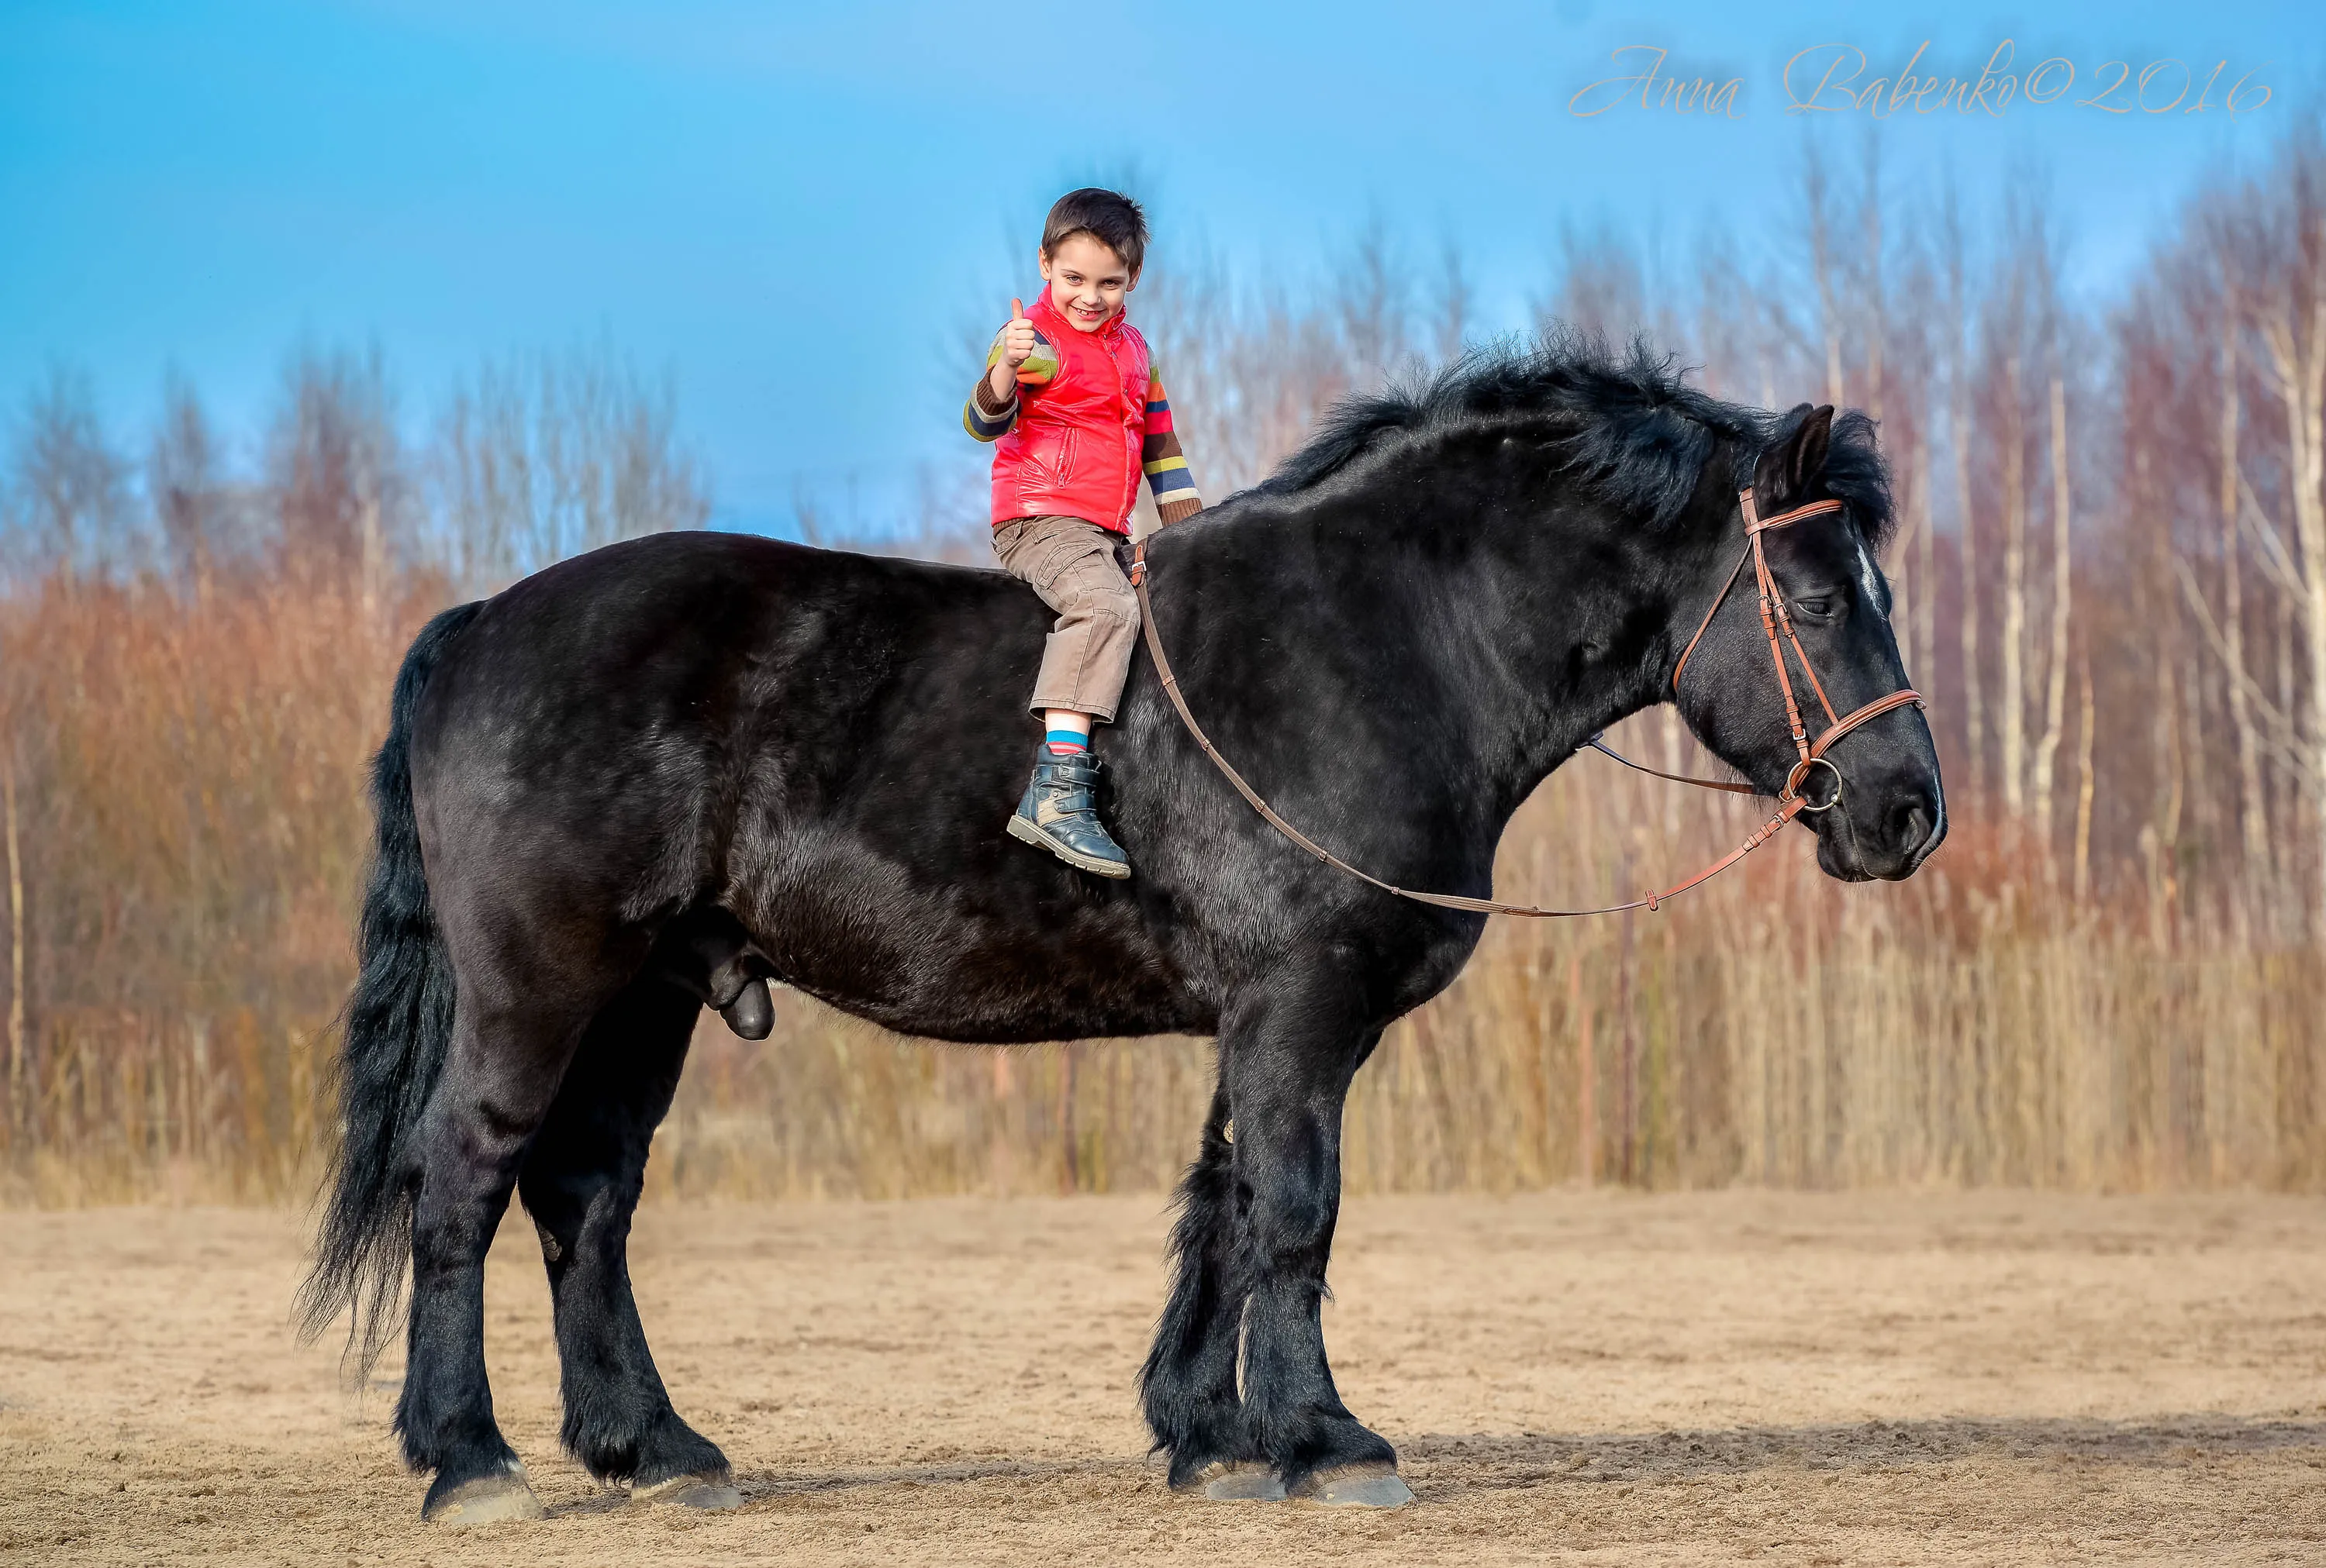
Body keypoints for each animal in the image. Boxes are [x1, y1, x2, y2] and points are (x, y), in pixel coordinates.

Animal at [305, 335, 1945, 1516]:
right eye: (1813, 595)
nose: (1907, 809)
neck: (1386, 638)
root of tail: (480, 623)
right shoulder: (1301, 1001)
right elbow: (1296, 1207)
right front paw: (1327, 1438)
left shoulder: (1265, 1015)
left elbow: (1224, 1202)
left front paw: (1209, 1430)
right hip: (541, 983)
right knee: (464, 1175)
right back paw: (469, 1456)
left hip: (646, 994)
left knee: (586, 1196)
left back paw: (654, 1446)